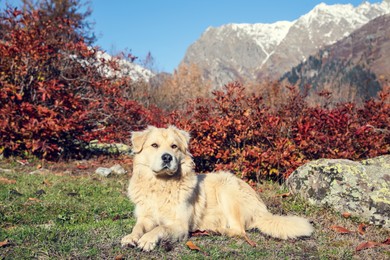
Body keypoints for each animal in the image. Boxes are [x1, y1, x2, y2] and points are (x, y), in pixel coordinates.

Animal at [122, 125, 314, 251]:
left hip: (226, 188)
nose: (167, 157)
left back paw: (216, 230)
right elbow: (137, 227)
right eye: (154, 145)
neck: (161, 185)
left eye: (174, 146)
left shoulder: (180, 225)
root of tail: (262, 209)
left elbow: (160, 228)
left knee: (239, 230)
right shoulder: (145, 217)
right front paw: (130, 237)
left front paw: (147, 240)